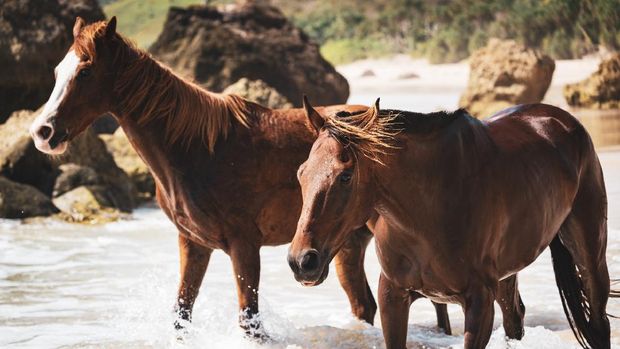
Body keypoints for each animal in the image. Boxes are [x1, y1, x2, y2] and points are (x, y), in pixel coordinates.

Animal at [25, 18, 450, 338]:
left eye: (85, 71)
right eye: (57, 71)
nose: (43, 132)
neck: (198, 150)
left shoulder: (245, 246)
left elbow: (250, 321)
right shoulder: (195, 244)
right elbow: (182, 313)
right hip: (346, 245)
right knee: (367, 305)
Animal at [290, 98, 612, 348]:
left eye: (345, 176)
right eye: (301, 172)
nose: (302, 261)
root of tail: (562, 119)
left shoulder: (479, 302)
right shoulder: (392, 295)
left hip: (589, 255)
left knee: (599, 323)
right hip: (507, 276)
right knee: (515, 319)